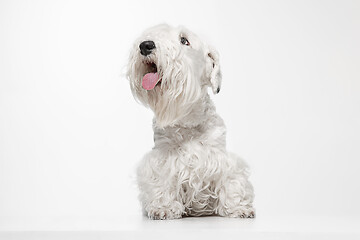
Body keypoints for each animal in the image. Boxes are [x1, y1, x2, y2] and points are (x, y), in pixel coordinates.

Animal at [128, 24, 255, 219]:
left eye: (184, 40)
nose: (145, 45)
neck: (187, 122)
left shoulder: (223, 160)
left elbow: (232, 181)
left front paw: (239, 208)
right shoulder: (161, 159)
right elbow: (162, 182)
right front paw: (164, 208)